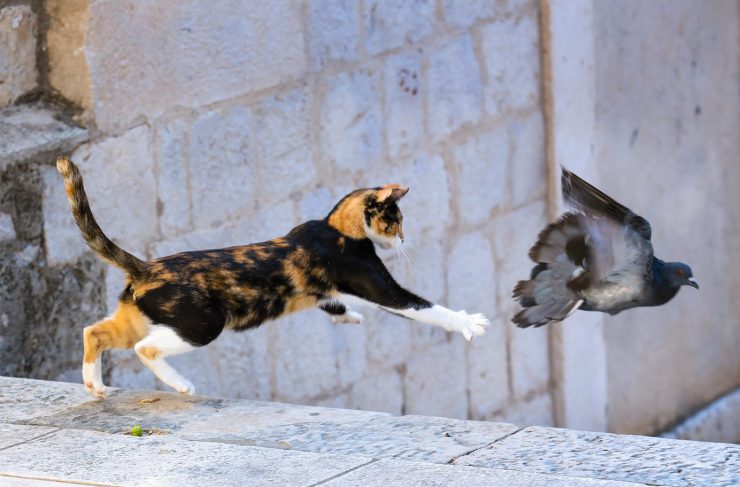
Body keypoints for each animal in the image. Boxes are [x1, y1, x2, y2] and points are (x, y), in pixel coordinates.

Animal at [55, 157, 488, 400]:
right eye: (396, 220)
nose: (403, 239)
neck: (335, 226)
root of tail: (146, 268)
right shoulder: (378, 285)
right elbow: (424, 307)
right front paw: (469, 323)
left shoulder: (334, 288)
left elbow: (333, 302)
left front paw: (349, 316)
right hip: (201, 324)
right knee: (144, 348)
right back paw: (181, 386)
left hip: (139, 317)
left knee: (94, 332)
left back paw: (94, 385)